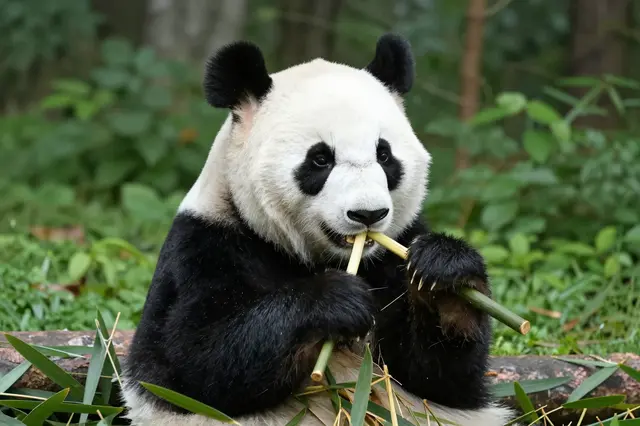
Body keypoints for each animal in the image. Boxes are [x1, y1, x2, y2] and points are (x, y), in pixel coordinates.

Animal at [120, 33, 516, 426]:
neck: (320, 257)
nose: (368, 214)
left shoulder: (394, 249)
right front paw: (335, 301)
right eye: (321, 159)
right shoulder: (206, 247)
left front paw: (443, 273)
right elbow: (194, 363)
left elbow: (438, 379)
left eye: (384, 155)